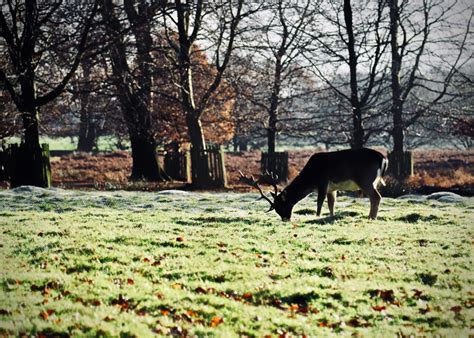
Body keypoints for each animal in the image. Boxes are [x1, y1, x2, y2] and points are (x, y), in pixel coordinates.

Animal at [241, 148, 388, 222]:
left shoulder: (322, 182)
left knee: (376, 197)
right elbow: (331, 204)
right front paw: (330, 216)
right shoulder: (332, 188)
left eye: (282, 205)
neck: (310, 179)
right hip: (371, 181)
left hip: (365, 179)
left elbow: (319, 203)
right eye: (276, 210)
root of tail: (383, 158)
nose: (286, 219)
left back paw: (371, 217)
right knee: (375, 197)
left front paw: (317, 216)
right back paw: (371, 216)